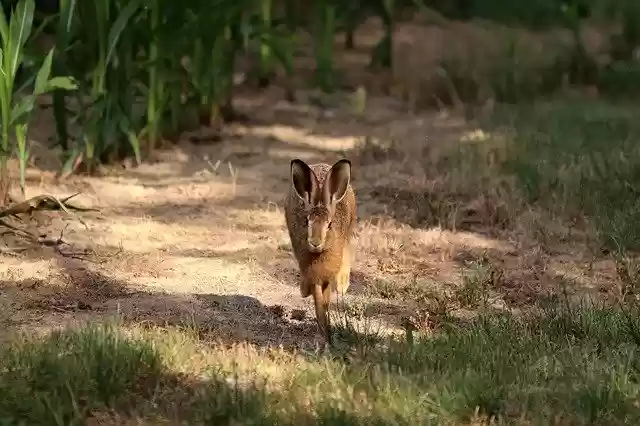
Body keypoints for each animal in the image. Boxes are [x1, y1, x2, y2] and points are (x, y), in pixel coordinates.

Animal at [284, 158, 357, 344]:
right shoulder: (315, 277)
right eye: (306, 221)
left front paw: (326, 334)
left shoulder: (327, 276)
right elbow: (318, 301)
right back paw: (303, 290)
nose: (315, 243)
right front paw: (322, 334)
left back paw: (343, 285)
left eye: (329, 224)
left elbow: (326, 301)